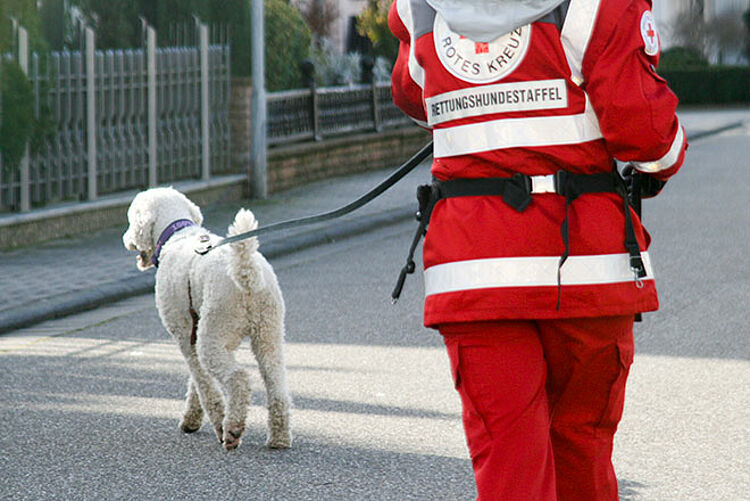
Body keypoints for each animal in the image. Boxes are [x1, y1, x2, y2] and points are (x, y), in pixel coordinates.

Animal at [122, 187, 292, 450]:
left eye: (131, 219)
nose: (125, 238)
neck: (176, 234)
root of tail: (247, 274)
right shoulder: (194, 333)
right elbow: (198, 382)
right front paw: (192, 419)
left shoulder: (185, 336)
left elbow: (204, 385)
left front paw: (214, 419)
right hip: (268, 332)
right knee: (276, 384)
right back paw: (279, 437)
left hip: (213, 334)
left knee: (239, 379)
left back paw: (231, 428)